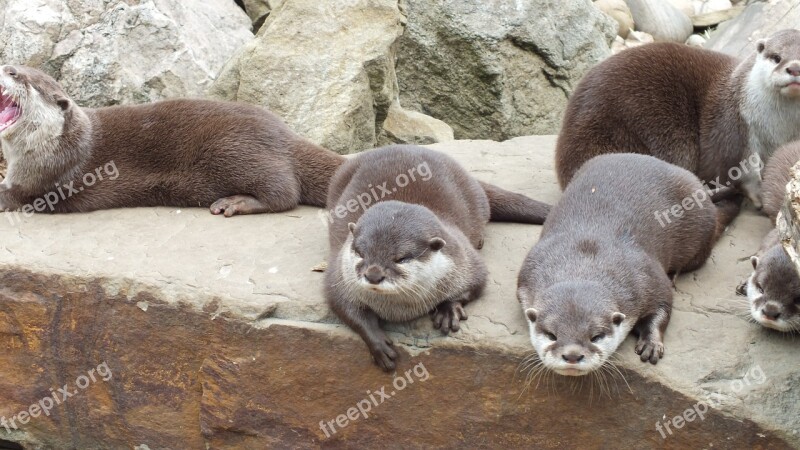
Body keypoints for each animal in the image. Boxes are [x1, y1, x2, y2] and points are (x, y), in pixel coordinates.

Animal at [0, 64, 342, 216]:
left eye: (23, 79)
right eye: (16, 68)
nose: (8, 66)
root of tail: (285, 133)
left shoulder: (44, 182)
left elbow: (16, 197)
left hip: (230, 149)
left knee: (285, 192)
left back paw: (235, 203)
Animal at [324, 146, 552, 370]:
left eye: (401, 258)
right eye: (360, 252)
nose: (373, 275)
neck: (398, 309)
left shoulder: (465, 259)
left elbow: (477, 282)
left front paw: (448, 310)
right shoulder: (339, 275)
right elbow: (343, 306)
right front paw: (378, 343)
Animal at [516, 155, 740, 376]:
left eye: (596, 336)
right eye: (551, 335)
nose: (572, 355)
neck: (584, 258)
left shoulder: (647, 276)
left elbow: (663, 306)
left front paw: (651, 344)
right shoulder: (528, 275)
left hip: (702, 236)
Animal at [552, 29, 800, 207]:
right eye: (776, 57)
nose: (795, 68)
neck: (777, 128)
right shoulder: (733, 125)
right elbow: (739, 169)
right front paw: (759, 195)